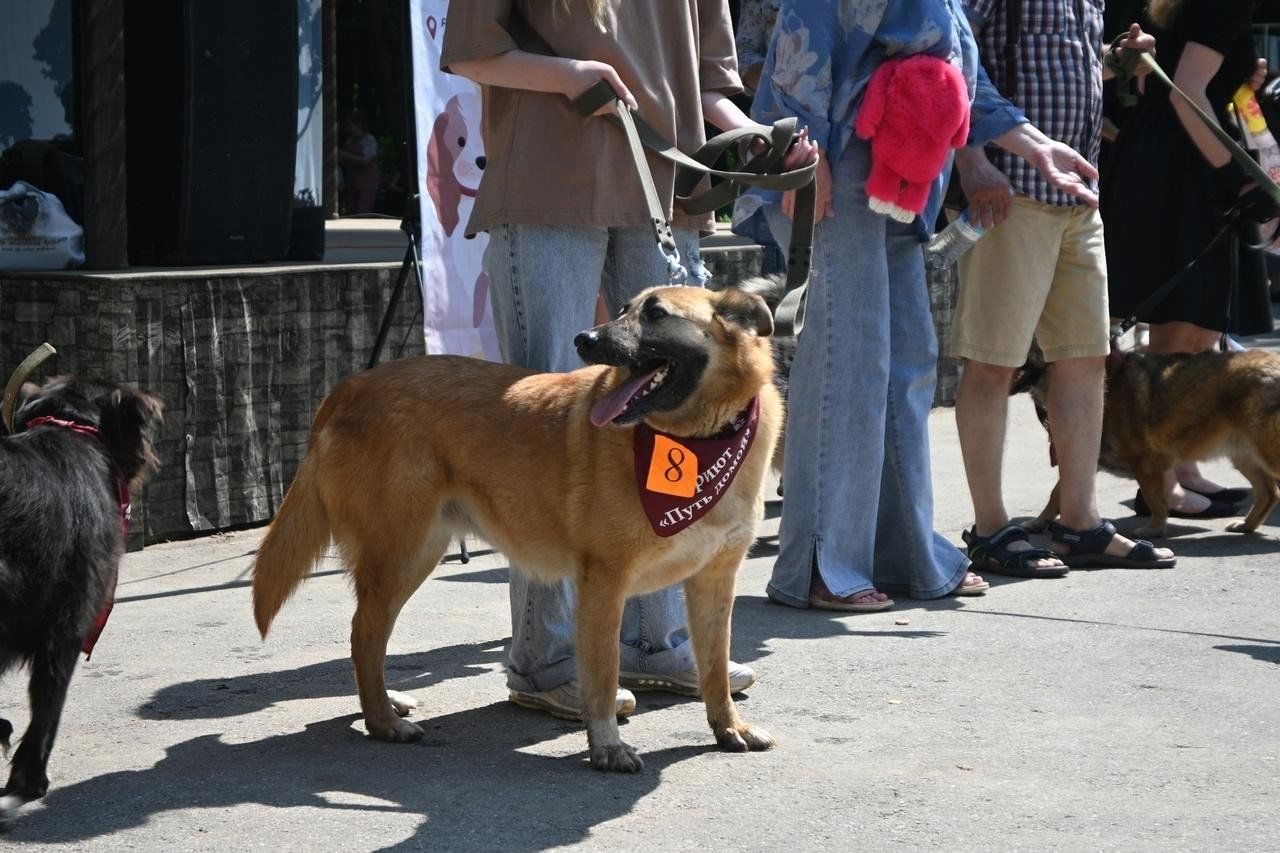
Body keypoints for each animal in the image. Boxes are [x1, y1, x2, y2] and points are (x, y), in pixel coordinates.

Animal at [252, 284, 778, 768]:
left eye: (656, 314)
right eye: (624, 309)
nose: (585, 339)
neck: (697, 440)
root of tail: (347, 388)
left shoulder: (714, 583)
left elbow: (714, 668)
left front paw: (728, 727)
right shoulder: (604, 583)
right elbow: (603, 676)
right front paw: (606, 746)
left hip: (416, 554)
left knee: (371, 635)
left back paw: (383, 703)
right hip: (400, 553)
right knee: (364, 632)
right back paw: (382, 721)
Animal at [1008, 343, 1280, 535]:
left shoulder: (1146, 465)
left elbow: (1155, 500)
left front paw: (1155, 529)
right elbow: (1056, 494)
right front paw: (1039, 522)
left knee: (1270, 490)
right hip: (1243, 454)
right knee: (1269, 493)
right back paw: (1247, 525)